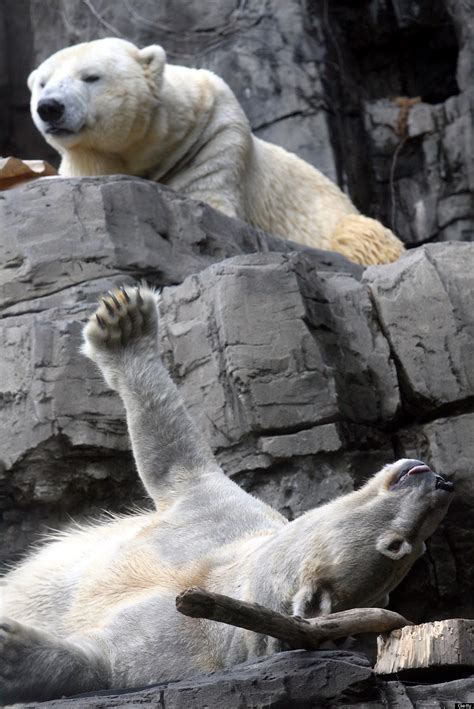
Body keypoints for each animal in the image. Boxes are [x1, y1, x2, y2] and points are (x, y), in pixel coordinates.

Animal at [0, 284, 454, 704]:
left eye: (400, 546)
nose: (438, 482)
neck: (227, 582)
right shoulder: (219, 521)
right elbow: (175, 459)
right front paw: (124, 319)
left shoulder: (185, 641)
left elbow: (101, 664)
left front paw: (12, 648)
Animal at [27, 38, 404, 266]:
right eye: (43, 83)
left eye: (91, 77)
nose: (50, 107)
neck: (151, 142)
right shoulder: (87, 162)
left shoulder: (213, 138)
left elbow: (208, 200)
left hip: (337, 217)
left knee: (361, 235)